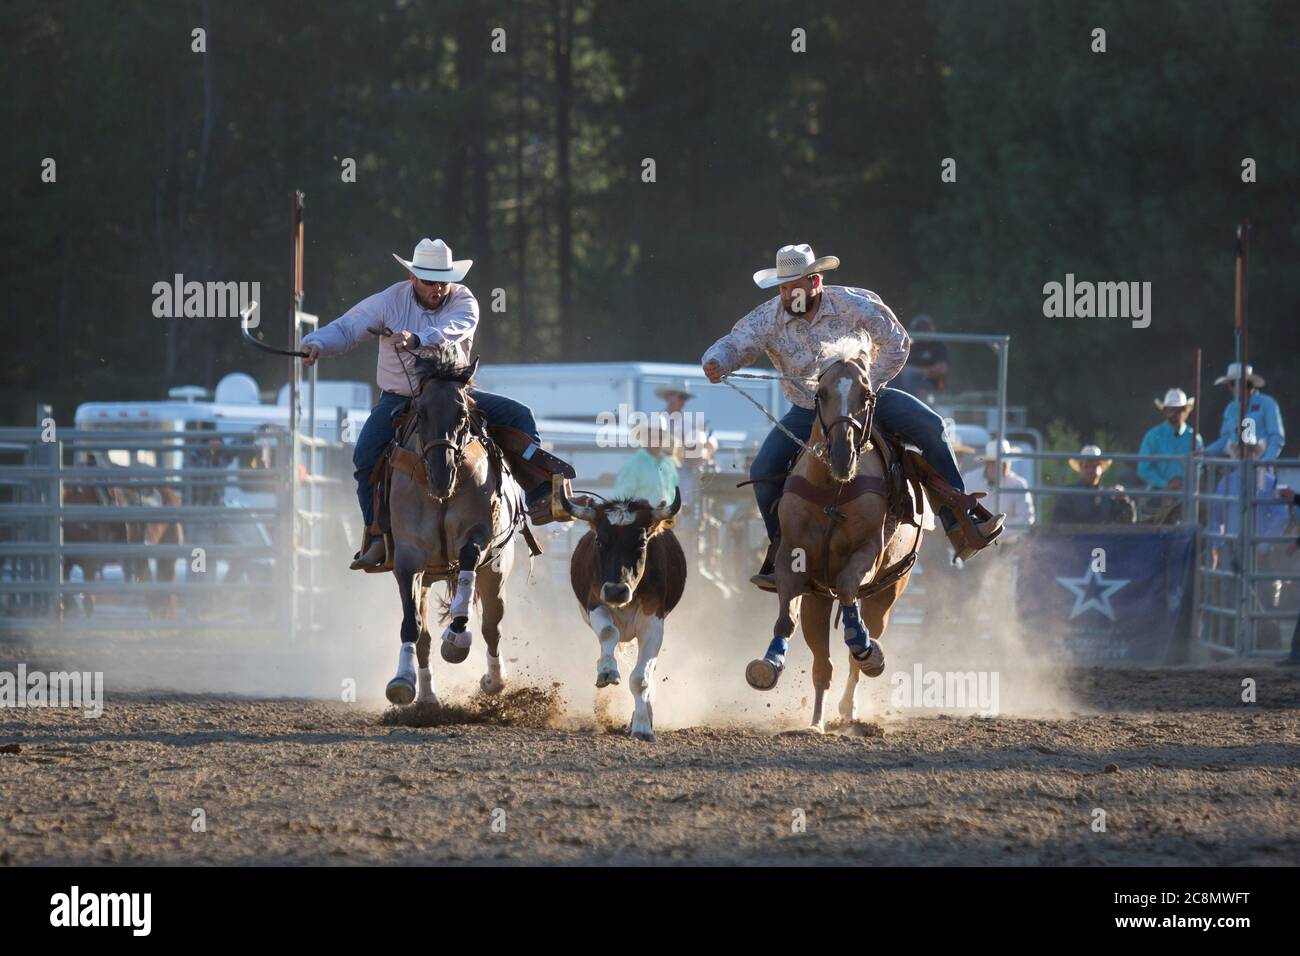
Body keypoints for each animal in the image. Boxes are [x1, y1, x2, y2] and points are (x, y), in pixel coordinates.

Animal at [382, 348, 525, 707]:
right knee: (424, 636)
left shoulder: (479, 538)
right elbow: (411, 626)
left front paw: (457, 636)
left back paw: (494, 680)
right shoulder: (408, 559)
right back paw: (427, 699)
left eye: (462, 413)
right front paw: (402, 682)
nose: (440, 473)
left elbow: (468, 562)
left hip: (497, 572)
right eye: (421, 411)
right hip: (426, 578)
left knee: (491, 627)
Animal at [748, 330, 920, 733]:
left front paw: (863, 645)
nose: (842, 455)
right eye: (821, 394)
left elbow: (847, 589)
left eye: (866, 395)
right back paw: (815, 721)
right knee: (821, 664)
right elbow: (786, 618)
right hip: (817, 598)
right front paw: (769, 665)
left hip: (888, 592)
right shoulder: (792, 560)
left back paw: (851, 700)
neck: (832, 489)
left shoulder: (867, 556)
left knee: (858, 651)